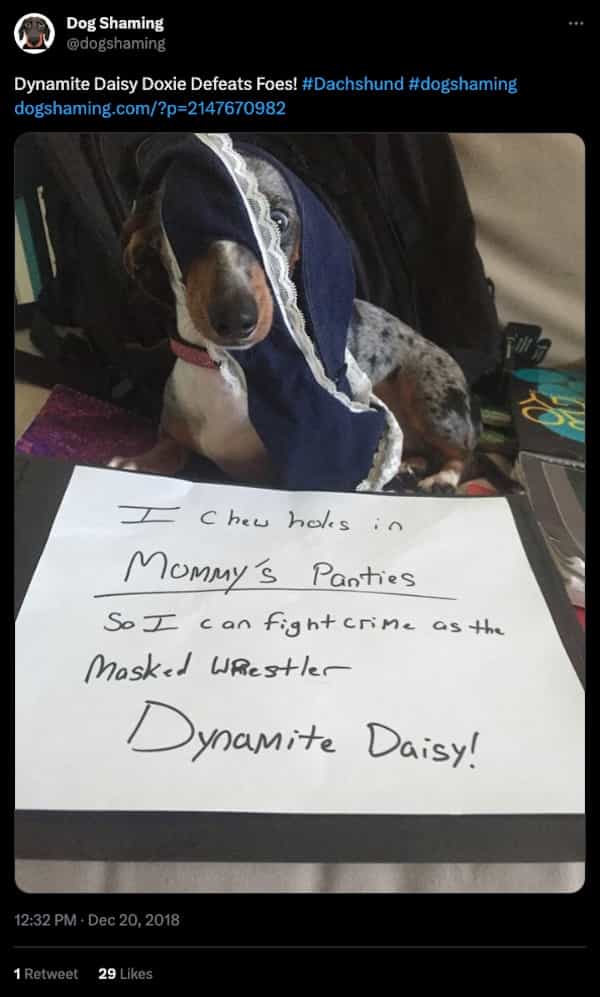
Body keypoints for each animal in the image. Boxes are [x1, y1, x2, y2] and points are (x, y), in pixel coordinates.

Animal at [110, 145, 479, 493]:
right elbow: (168, 450)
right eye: (182, 226)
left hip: (429, 399)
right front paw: (137, 464)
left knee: (463, 453)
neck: (232, 369)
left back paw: (441, 478)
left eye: (277, 220)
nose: (237, 319)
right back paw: (408, 465)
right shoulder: (173, 435)